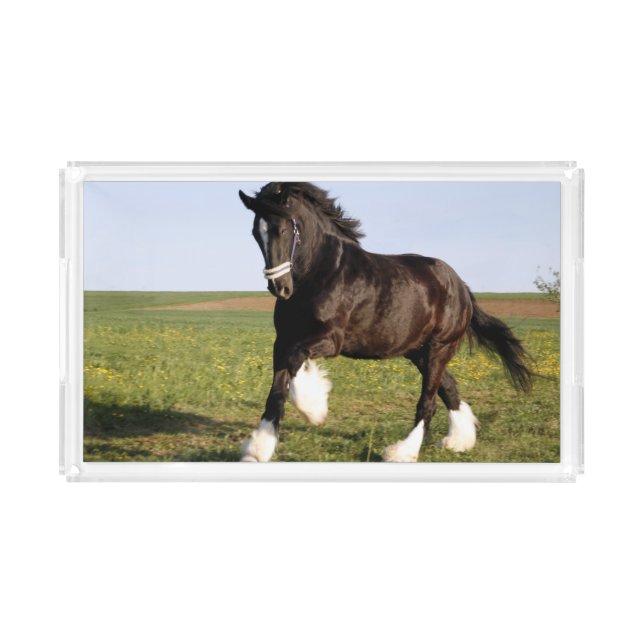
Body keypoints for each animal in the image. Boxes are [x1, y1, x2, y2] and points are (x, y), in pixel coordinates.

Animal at [237, 182, 532, 462]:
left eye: (282, 229)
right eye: (255, 233)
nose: (280, 288)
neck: (322, 272)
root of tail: (461, 287)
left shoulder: (331, 340)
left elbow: (296, 363)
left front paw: (315, 409)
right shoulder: (283, 341)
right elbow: (276, 393)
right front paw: (257, 451)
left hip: (439, 348)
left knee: (428, 402)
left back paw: (403, 452)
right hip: (419, 352)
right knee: (449, 388)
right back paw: (459, 441)